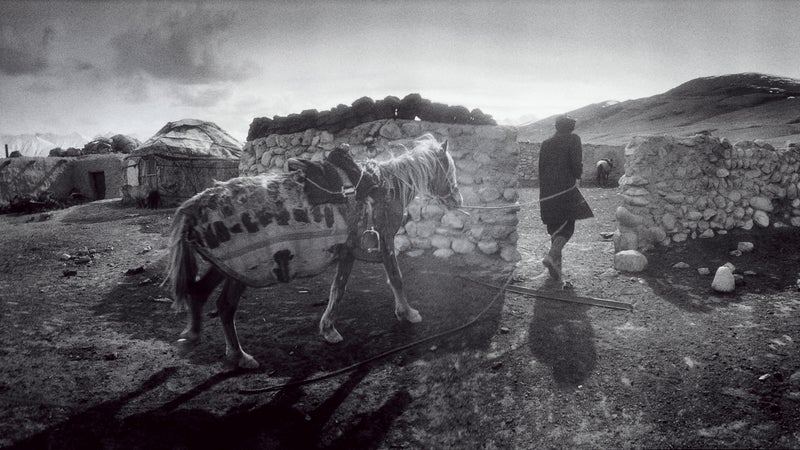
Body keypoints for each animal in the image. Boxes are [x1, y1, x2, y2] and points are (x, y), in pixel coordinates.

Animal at [163, 134, 462, 370]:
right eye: (448, 168)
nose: (457, 200)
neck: (386, 187)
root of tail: (192, 206)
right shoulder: (385, 241)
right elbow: (396, 278)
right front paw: (408, 314)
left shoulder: (348, 250)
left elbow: (338, 289)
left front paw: (328, 329)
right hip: (239, 271)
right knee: (224, 306)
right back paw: (239, 355)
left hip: (225, 267)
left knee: (201, 293)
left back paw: (201, 339)